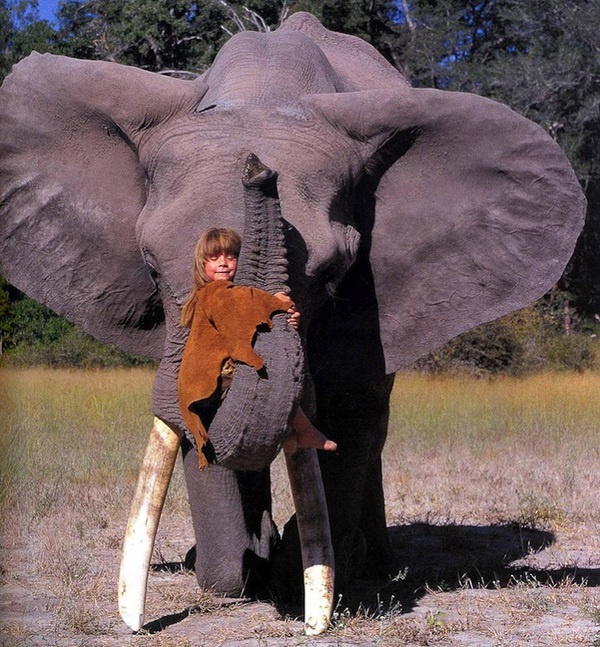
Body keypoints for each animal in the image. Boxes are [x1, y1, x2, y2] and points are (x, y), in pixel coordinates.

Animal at [0, 8, 584, 636]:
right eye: (151, 265)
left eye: (332, 274)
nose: (258, 169)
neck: (264, 92)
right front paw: (239, 568)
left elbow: (349, 410)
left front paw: (302, 573)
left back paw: (365, 561)